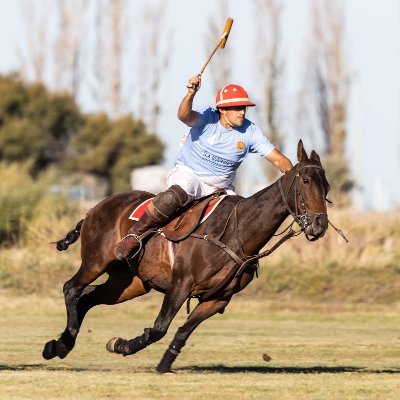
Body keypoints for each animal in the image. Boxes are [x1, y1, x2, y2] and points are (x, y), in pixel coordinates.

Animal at [43, 141, 332, 372]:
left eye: (327, 186)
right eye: (305, 181)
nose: (319, 225)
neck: (237, 233)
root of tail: (93, 208)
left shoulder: (217, 298)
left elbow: (182, 331)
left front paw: (158, 362)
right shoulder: (180, 285)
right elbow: (159, 328)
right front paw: (124, 345)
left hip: (130, 283)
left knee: (88, 297)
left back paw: (59, 345)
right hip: (97, 260)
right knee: (72, 288)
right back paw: (63, 342)